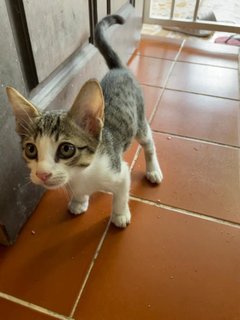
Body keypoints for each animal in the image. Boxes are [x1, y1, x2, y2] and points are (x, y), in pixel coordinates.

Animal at [6, 14, 163, 228]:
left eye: (66, 149)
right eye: (31, 149)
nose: (42, 174)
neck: (80, 174)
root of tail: (119, 69)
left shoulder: (119, 172)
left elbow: (121, 194)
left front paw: (120, 214)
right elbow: (78, 192)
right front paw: (79, 201)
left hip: (139, 120)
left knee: (149, 142)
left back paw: (153, 169)